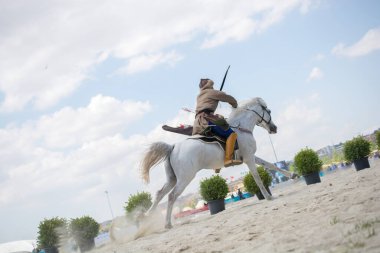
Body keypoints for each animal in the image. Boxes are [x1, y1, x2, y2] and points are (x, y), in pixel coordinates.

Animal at [141, 97, 278, 229]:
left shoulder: (252, 157)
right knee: (172, 196)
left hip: (172, 179)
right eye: (269, 111)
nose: (274, 128)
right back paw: (167, 224)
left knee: (160, 194)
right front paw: (268, 196)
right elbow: (257, 178)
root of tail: (173, 147)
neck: (241, 128)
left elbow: (270, 165)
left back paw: (146, 217)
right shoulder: (249, 158)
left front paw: (284, 174)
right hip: (185, 178)